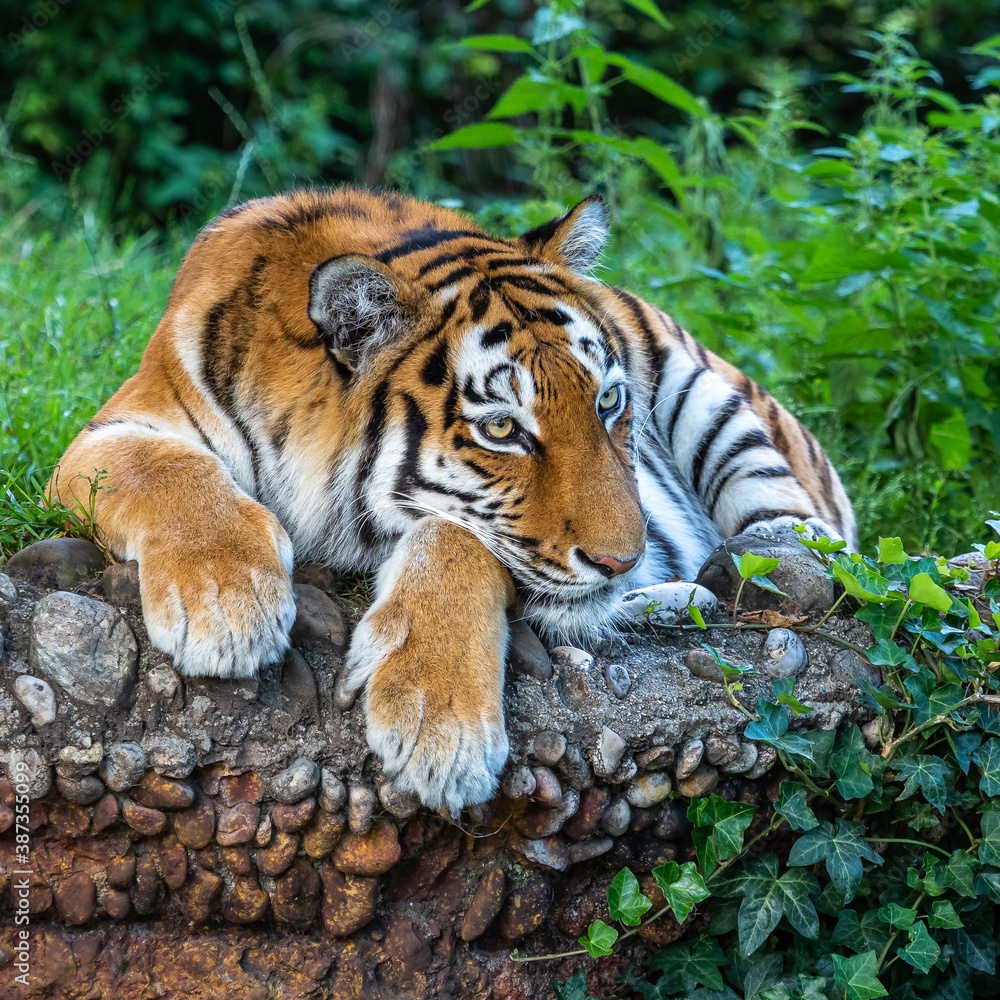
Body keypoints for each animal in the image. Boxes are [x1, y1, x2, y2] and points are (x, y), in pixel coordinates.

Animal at [53, 187, 856, 813]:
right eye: (501, 429)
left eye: (609, 403)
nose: (621, 560)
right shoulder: (111, 431)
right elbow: (166, 471)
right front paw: (225, 602)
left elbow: (456, 536)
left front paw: (438, 723)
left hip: (715, 397)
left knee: (812, 544)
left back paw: (742, 571)